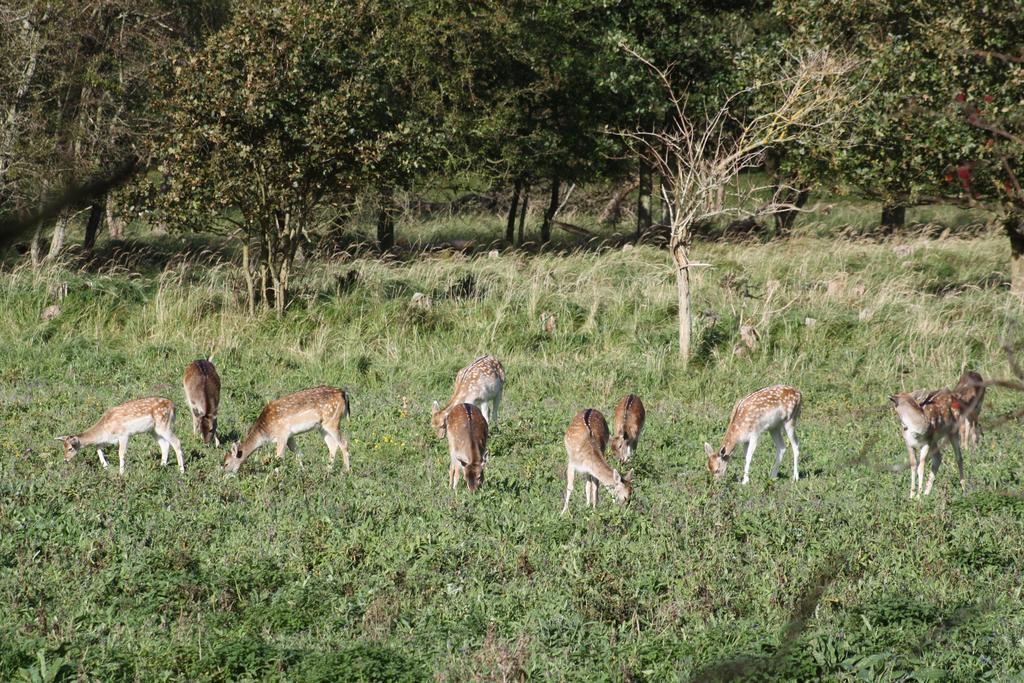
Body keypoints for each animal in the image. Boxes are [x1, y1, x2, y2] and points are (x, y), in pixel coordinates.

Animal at [56, 395, 184, 475]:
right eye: (63, 447)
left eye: (70, 448)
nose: (65, 460)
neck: (105, 429)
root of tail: (173, 406)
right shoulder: (108, 440)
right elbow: (98, 447)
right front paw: (105, 467)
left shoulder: (124, 435)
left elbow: (121, 453)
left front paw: (121, 473)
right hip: (154, 430)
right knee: (164, 445)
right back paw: (162, 467)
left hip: (163, 424)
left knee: (176, 441)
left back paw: (181, 471)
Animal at [224, 385, 352, 475]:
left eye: (226, 463)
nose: (224, 475)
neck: (265, 431)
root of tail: (344, 394)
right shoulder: (290, 436)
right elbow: (298, 453)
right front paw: (303, 471)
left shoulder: (282, 434)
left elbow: (279, 457)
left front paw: (276, 477)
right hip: (322, 427)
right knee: (332, 445)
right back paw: (328, 470)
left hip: (332, 421)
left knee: (343, 443)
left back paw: (345, 471)